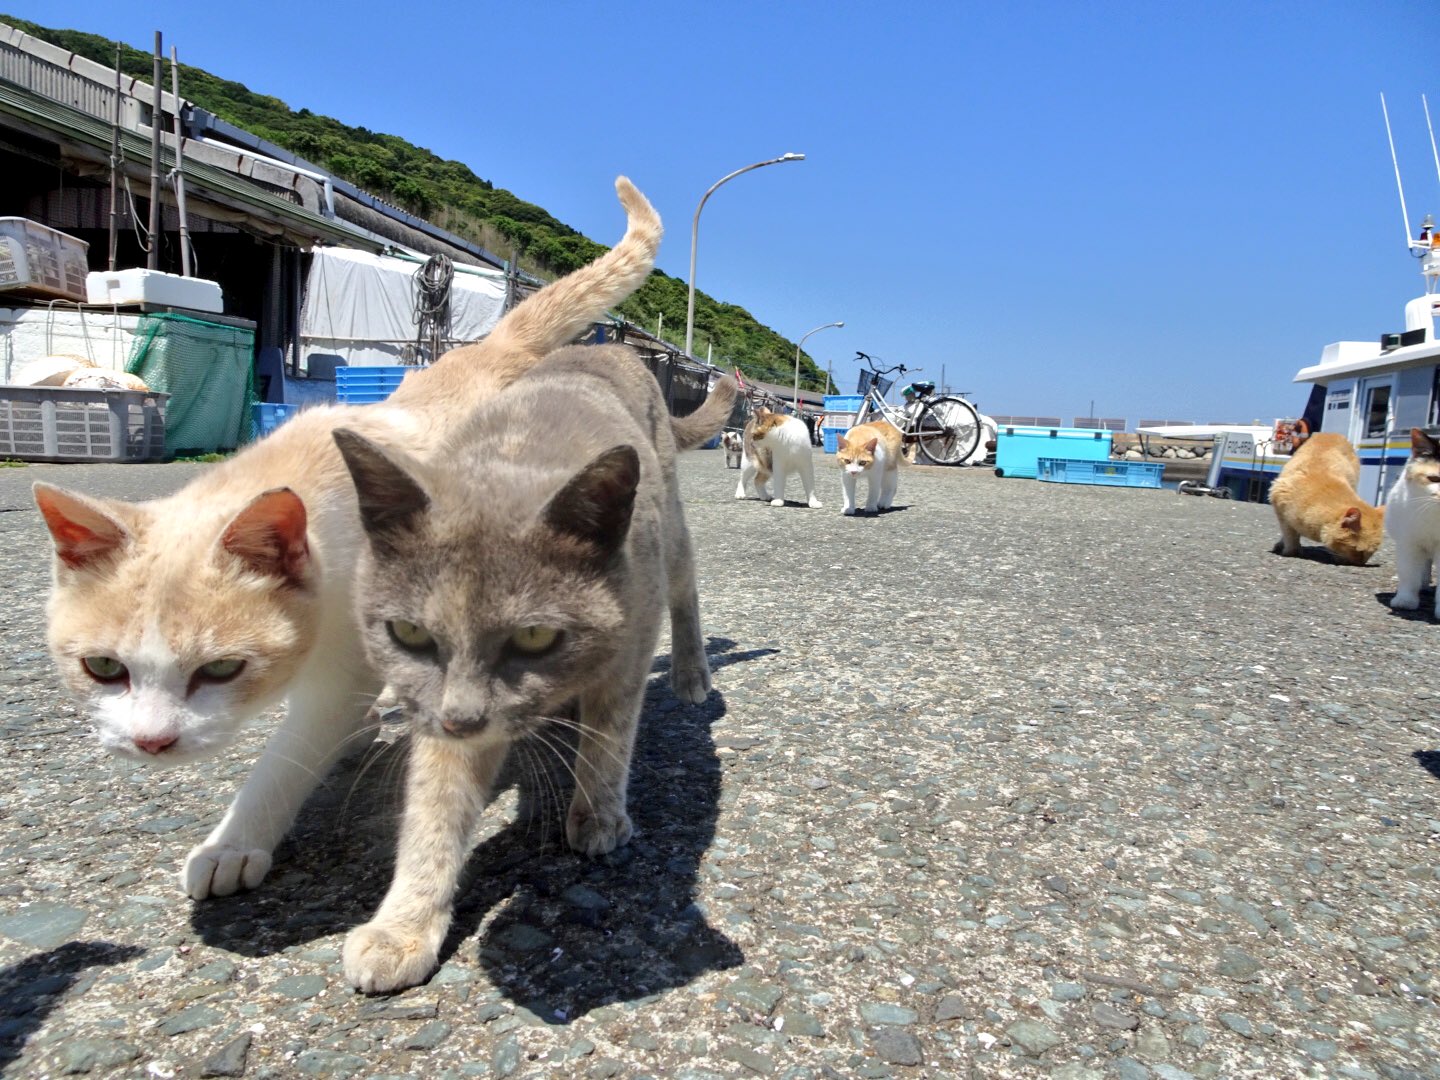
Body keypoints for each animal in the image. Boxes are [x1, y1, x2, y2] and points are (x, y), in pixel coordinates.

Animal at [31, 177, 663, 901]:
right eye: (103, 668)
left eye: (221, 670)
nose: (151, 743)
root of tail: (488, 350)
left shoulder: (346, 661)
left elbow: (290, 754)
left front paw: (235, 840)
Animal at [329, 344, 737, 993]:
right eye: (409, 633)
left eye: (536, 636)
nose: (464, 719)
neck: (514, 457)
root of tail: (614, 346)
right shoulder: (440, 711)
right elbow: (435, 802)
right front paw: (403, 927)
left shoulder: (630, 642)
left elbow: (609, 736)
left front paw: (598, 818)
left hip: (670, 526)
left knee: (687, 585)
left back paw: (692, 677)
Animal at [1267, 431, 1385, 565]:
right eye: (1358, 551)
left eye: (1371, 553)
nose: (1361, 563)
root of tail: (1332, 433)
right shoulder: (1280, 506)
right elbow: (1289, 534)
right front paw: (1291, 551)